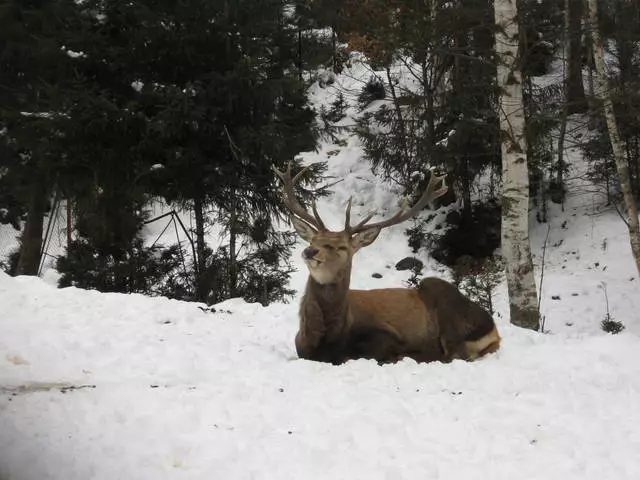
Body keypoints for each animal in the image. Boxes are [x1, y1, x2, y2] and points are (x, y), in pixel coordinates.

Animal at [272, 163, 502, 366]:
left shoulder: (386, 334)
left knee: (454, 354)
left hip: (448, 309)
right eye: (312, 241)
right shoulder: (300, 347)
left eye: (342, 247)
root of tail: (494, 330)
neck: (325, 338)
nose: (310, 251)